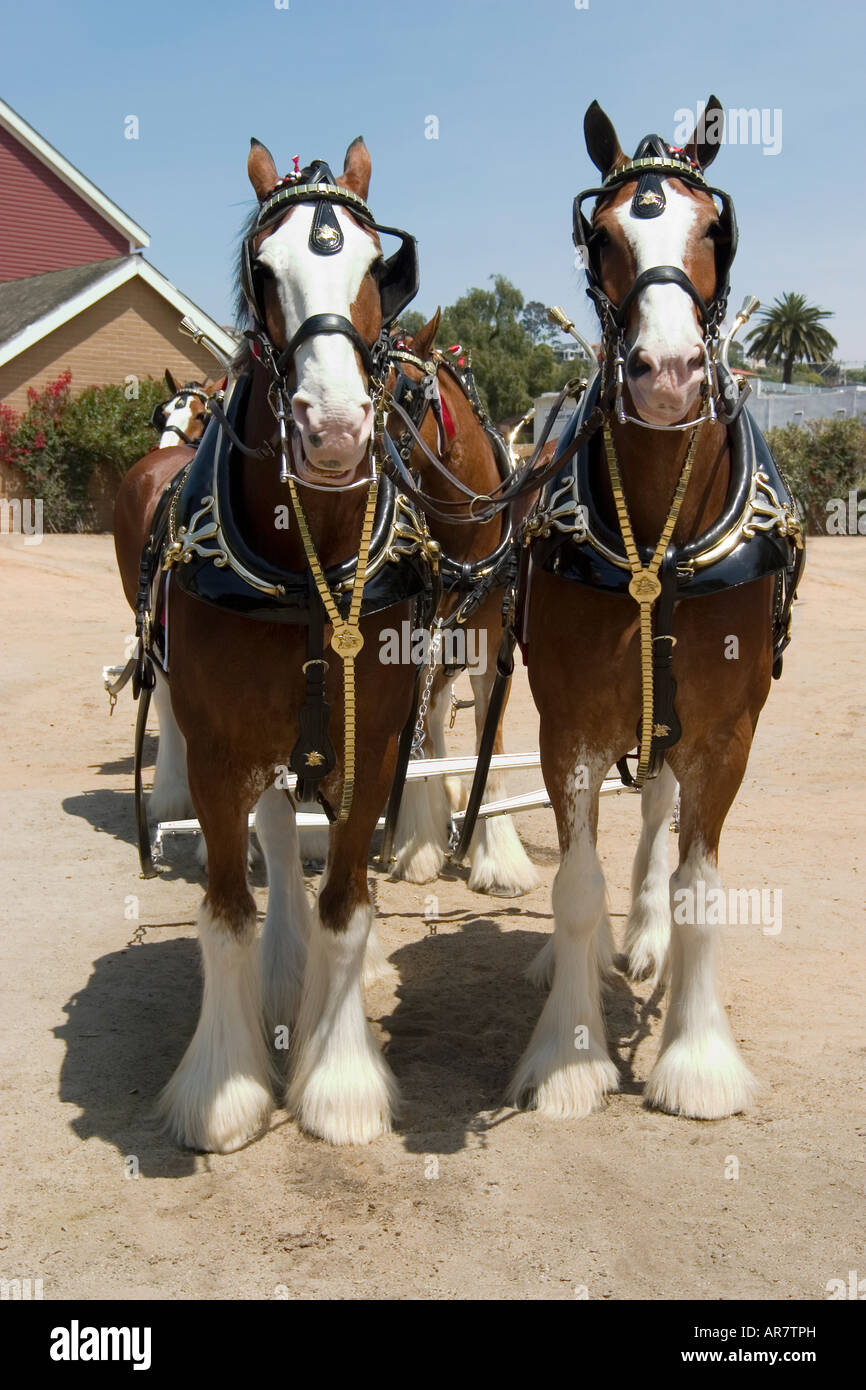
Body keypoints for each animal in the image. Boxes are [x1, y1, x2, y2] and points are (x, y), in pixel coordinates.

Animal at [114, 135, 436, 1149]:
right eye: (265, 271)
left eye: (379, 266)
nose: (331, 429)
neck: (308, 567)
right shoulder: (222, 747)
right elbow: (226, 912)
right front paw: (225, 1089)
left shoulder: (371, 745)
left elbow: (344, 908)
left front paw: (338, 1083)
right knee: (265, 830)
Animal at [385, 314, 539, 896]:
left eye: (407, 392)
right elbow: (414, 736)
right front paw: (415, 844)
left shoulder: (492, 649)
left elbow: (488, 748)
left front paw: (499, 859)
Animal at [513, 98, 804, 1120]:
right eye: (601, 235)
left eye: (712, 228)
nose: (668, 373)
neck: (659, 542)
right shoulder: (565, 724)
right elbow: (573, 882)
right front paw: (568, 1053)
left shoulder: (728, 732)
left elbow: (697, 886)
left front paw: (695, 1055)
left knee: (657, 817)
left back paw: (646, 944)